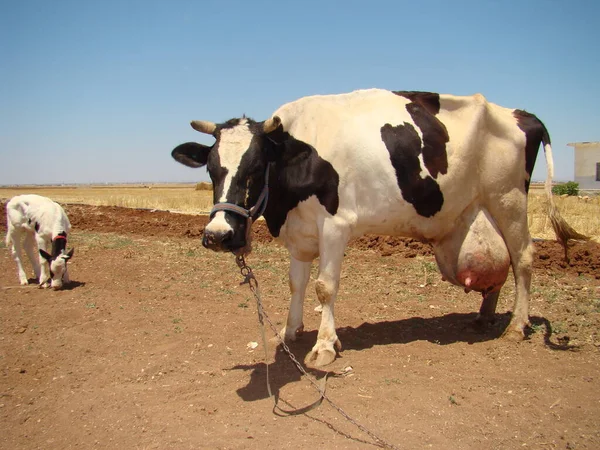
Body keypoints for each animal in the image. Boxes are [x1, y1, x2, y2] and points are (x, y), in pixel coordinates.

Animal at [172, 88, 572, 366]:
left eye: (255, 168)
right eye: (212, 168)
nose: (218, 235)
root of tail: (520, 113)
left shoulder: (335, 226)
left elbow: (324, 287)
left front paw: (324, 345)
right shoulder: (300, 233)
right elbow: (296, 284)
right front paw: (290, 332)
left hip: (509, 199)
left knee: (522, 258)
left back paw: (516, 327)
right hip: (483, 207)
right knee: (498, 263)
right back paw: (484, 317)